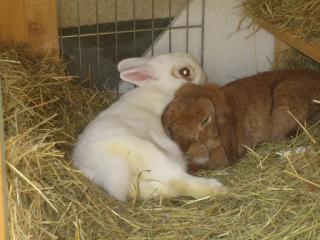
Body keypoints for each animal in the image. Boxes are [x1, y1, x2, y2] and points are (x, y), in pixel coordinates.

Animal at [71, 52, 226, 201]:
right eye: (185, 72)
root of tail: (107, 167)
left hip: (137, 183)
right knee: (177, 179)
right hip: (154, 154)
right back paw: (217, 188)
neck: (160, 88)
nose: (204, 75)